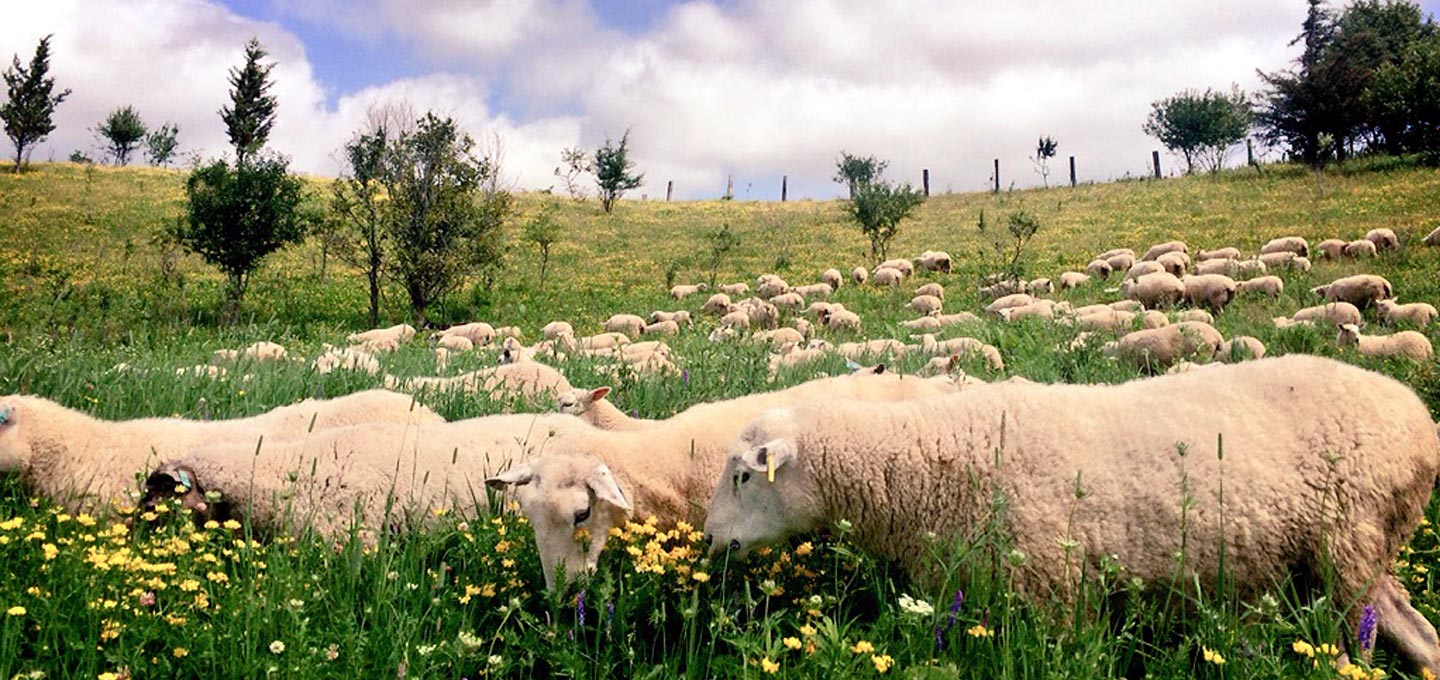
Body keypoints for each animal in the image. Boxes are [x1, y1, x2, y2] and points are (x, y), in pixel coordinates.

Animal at [705, 352, 1440, 677]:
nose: (710, 539)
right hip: (1363, 552)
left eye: (742, 476)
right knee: (1418, 632)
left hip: (1348, 546)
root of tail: (1417, 417)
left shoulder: (1056, 593)